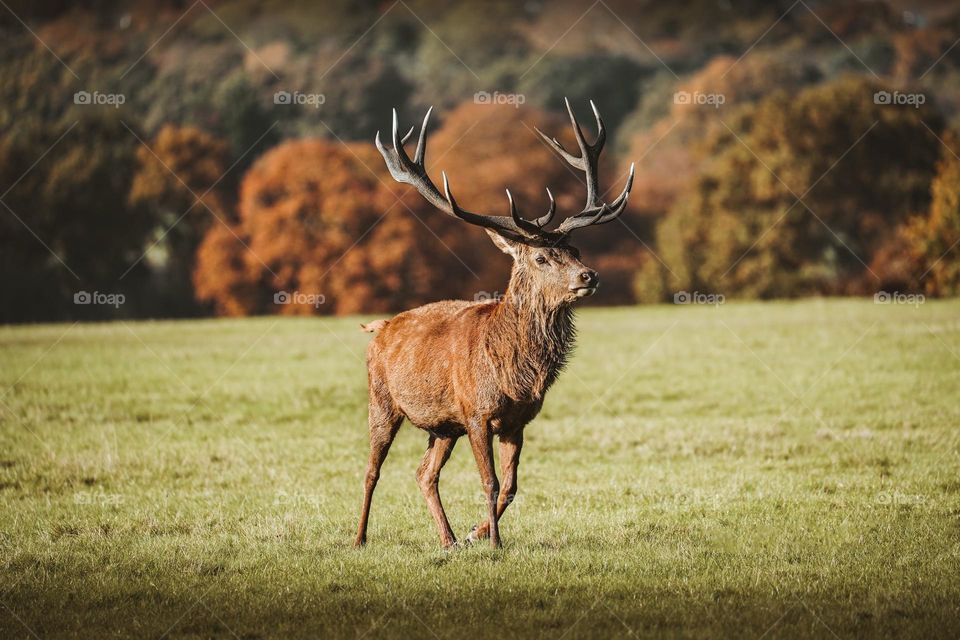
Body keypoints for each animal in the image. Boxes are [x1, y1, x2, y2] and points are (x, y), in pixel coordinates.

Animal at [353, 99, 634, 549]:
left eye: (575, 250)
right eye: (541, 257)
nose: (588, 275)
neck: (516, 372)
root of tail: (380, 327)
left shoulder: (516, 421)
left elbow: (512, 486)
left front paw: (476, 533)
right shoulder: (476, 413)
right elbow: (489, 482)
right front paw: (495, 543)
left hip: (443, 427)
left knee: (424, 474)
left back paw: (448, 540)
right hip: (381, 401)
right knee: (372, 471)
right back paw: (359, 538)